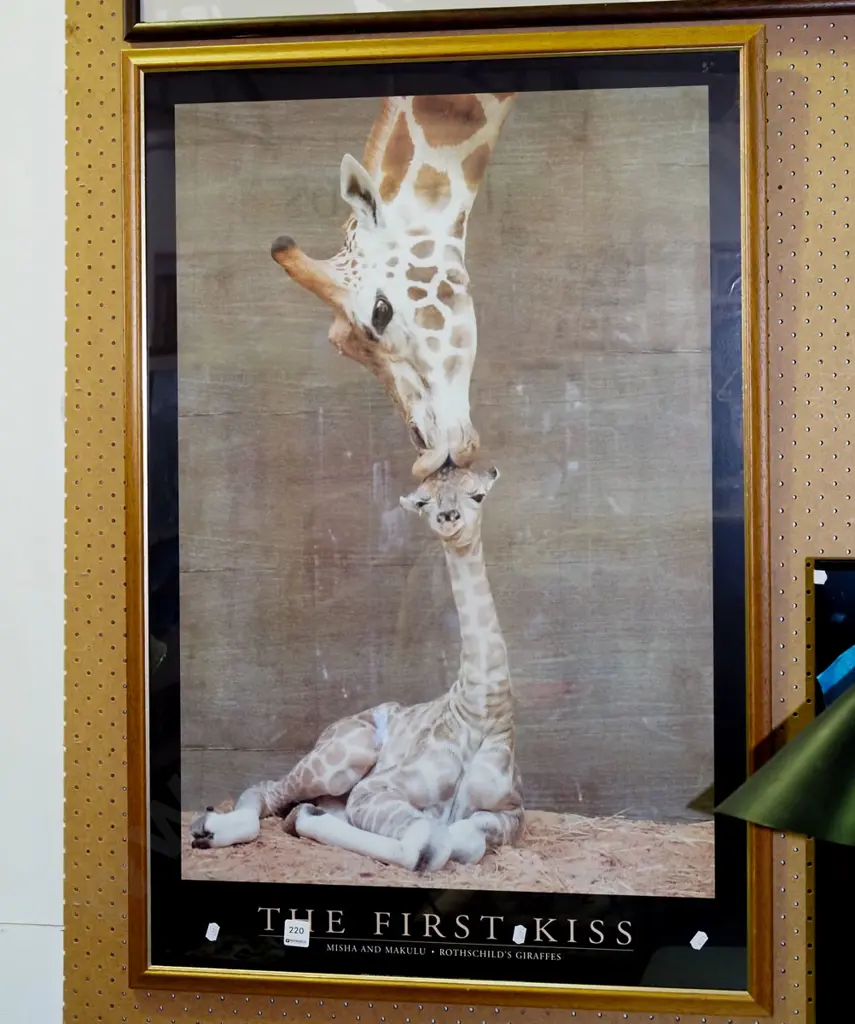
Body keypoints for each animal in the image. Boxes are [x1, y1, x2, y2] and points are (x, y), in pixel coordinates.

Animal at [189, 463, 523, 872]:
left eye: (477, 494)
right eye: (423, 502)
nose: (448, 517)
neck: (482, 711)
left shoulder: (513, 812)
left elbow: (465, 839)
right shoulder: (374, 788)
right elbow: (428, 845)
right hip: (349, 753)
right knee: (266, 791)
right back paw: (208, 827)